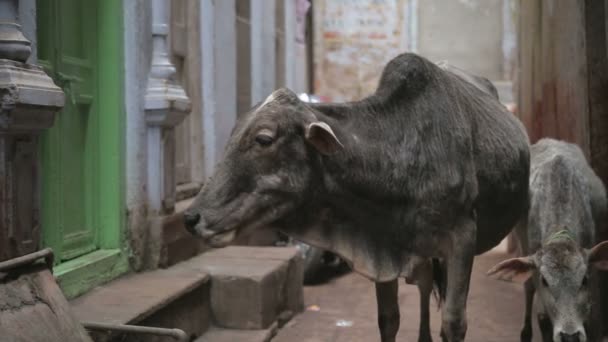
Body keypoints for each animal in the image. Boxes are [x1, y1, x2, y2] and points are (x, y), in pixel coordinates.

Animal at [183, 52, 528, 340]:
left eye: (264, 139)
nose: (190, 217)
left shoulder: (462, 239)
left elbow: (454, 323)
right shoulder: (382, 247)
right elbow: (388, 319)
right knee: (424, 285)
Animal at [486, 138, 608, 342]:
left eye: (584, 280)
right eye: (545, 280)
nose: (569, 336)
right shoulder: (533, 261)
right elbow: (542, 317)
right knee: (527, 287)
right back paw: (525, 333)